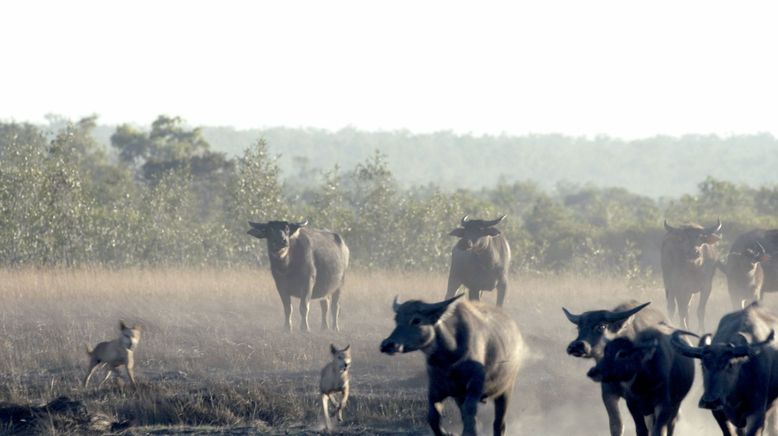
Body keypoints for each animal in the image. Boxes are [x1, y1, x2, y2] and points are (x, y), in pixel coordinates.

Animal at [380, 294, 520, 434]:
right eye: (396, 319)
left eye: (416, 320)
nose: (387, 344)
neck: (448, 360)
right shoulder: (437, 390)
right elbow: (433, 417)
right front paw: (448, 433)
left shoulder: (475, 385)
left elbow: (469, 410)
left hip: (506, 390)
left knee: (499, 423)